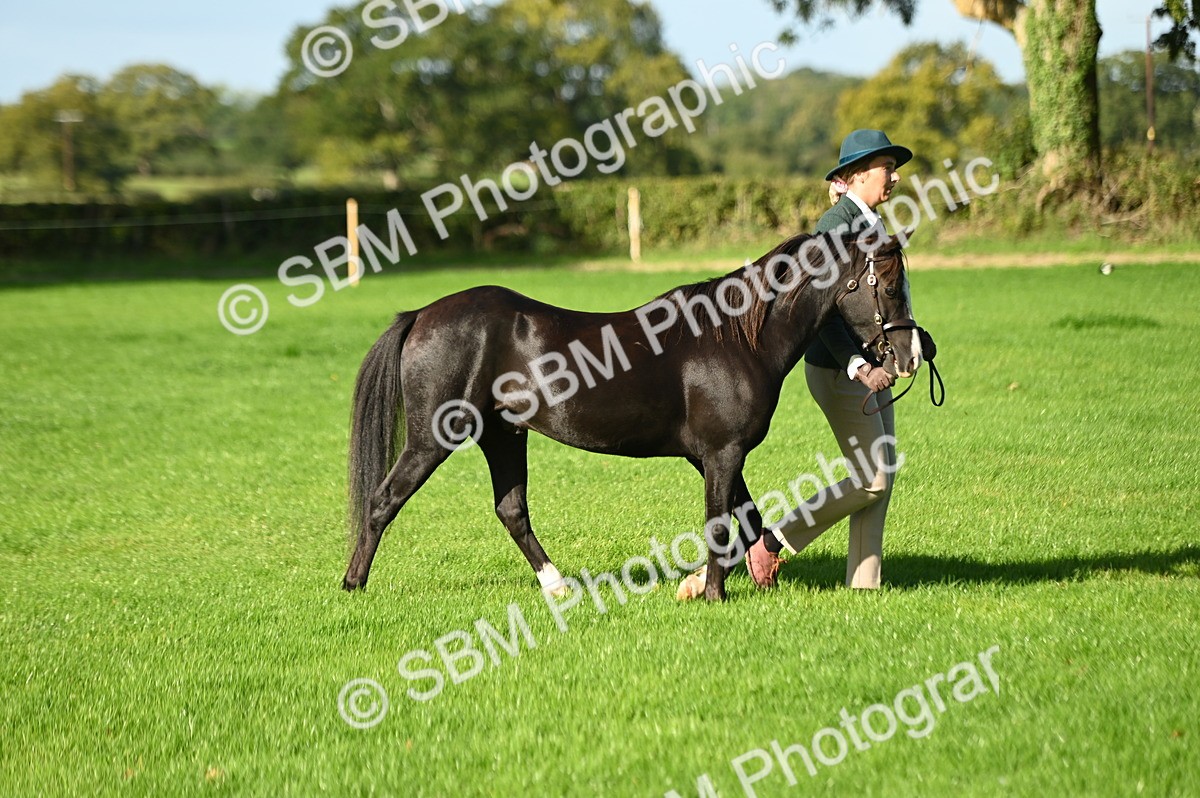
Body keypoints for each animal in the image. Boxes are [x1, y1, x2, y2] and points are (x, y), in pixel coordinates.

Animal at [342, 230, 920, 601]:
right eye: (891, 286)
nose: (911, 355)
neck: (735, 338)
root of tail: (422, 314)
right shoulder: (721, 453)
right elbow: (720, 522)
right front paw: (713, 593)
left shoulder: (714, 456)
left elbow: (749, 519)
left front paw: (734, 577)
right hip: (432, 440)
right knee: (383, 502)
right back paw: (353, 583)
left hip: (503, 436)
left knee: (511, 511)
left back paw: (557, 585)